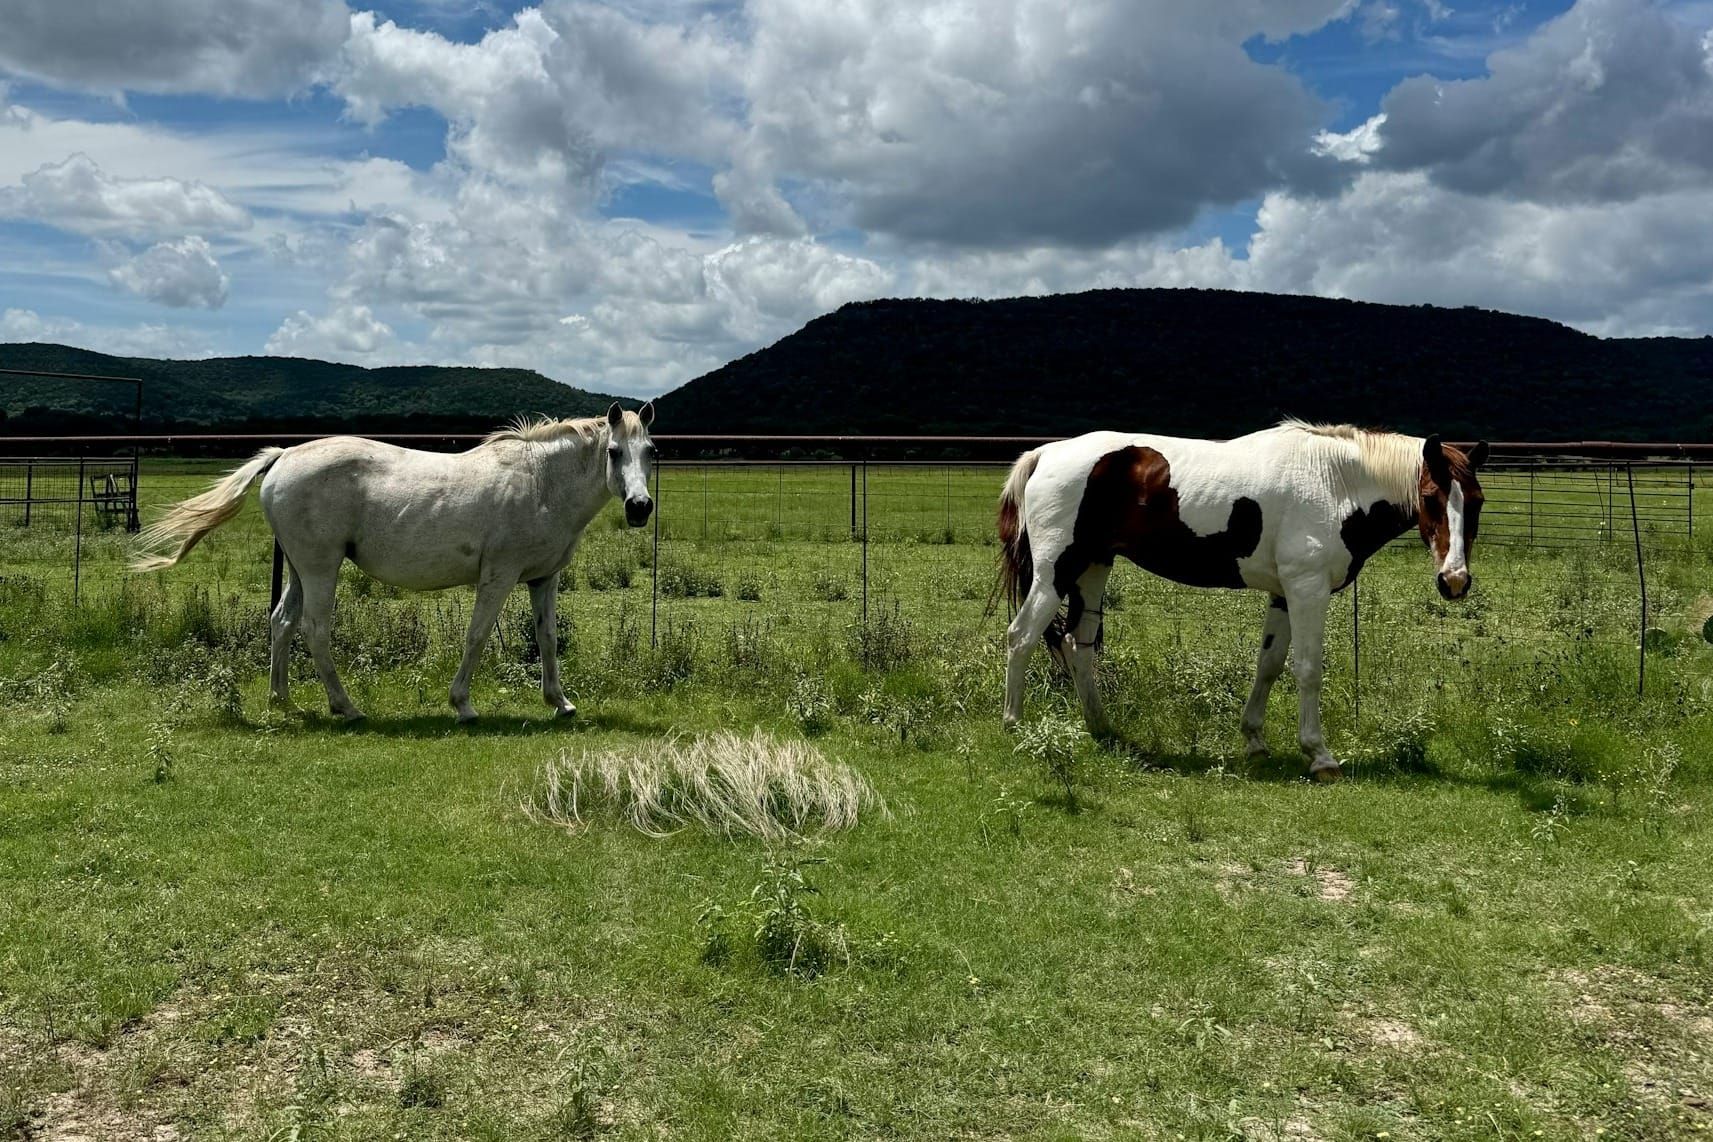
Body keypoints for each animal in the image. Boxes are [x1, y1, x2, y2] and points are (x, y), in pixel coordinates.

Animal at [134, 402, 656, 723]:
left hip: (301, 571)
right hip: (321, 570)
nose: (639, 507)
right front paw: (462, 705)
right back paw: (346, 707)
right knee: (314, 629)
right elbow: (477, 636)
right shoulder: (499, 576)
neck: (540, 481)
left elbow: (546, 639)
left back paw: (282, 701)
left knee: (282, 622)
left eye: (650, 451)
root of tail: (284, 456)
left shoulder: (543, 579)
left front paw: (560, 702)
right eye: (614, 451)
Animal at [996, 420, 1489, 781]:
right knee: (1021, 637)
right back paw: (1013, 725)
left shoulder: (1284, 594)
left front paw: (1254, 740)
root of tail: (1046, 454)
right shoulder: (1307, 589)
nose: (1454, 580)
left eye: (1477, 501)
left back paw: (1099, 725)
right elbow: (1307, 670)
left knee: (1077, 645)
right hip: (1056, 570)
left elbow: (1268, 665)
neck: (1335, 483)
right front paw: (1320, 756)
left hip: (1094, 568)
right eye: (1430, 497)